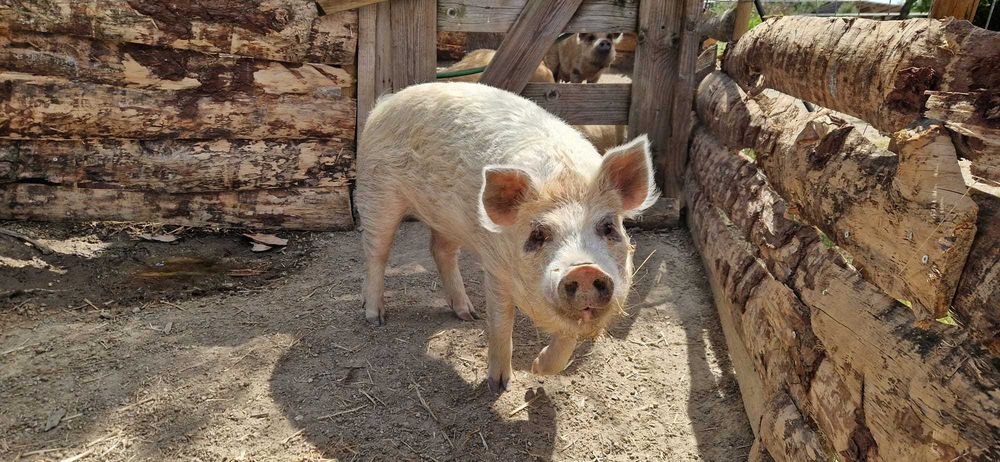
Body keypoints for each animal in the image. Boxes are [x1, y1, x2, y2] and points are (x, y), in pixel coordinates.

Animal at [355, 82, 658, 392]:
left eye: (608, 226)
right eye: (538, 234)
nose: (584, 270)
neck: (562, 183)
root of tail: (386, 102)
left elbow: (566, 341)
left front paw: (537, 368)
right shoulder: (495, 266)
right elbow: (501, 322)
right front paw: (499, 385)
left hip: (447, 218)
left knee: (440, 250)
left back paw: (467, 314)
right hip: (376, 192)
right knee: (376, 253)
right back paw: (375, 316)